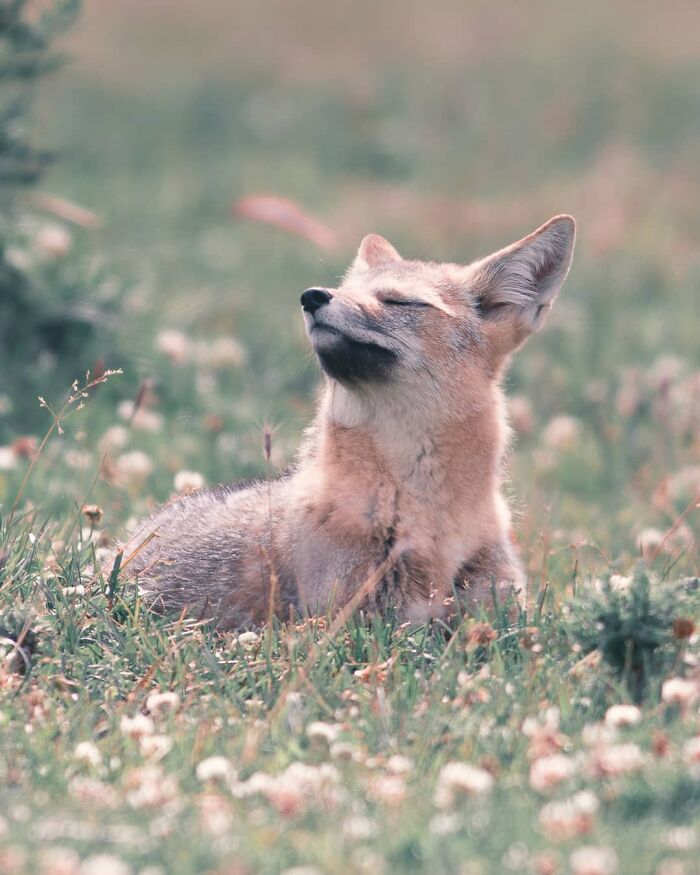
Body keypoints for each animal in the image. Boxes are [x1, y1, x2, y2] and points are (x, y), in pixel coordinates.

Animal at [118, 215, 576, 629]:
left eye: (401, 302)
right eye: (344, 289)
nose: (312, 295)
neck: (426, 514)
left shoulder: (501, 617)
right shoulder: (360, 622)